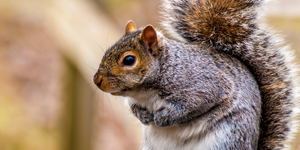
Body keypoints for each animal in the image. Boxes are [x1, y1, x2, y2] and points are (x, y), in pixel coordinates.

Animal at [92, 0, 298, 150]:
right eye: (109, 49)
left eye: (129, 60)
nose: (96, 80)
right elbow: (134, 107)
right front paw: (143, 115)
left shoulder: (201, 85)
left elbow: (194, 105)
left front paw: (163, 118)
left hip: (228, 138)